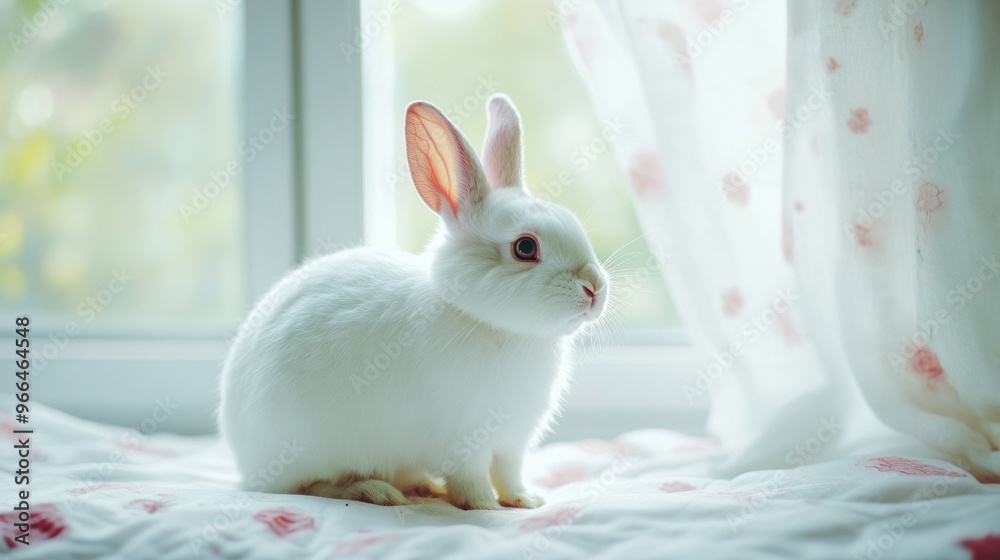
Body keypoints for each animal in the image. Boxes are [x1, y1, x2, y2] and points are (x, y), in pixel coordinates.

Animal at [219, 94, 608, 510]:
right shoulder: (465, 441)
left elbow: (509, 473)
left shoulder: (512, 442)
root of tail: (244, 459)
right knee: (310, 487)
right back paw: (377, 492)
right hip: (312, 450)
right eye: (525, 247)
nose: (594, 288)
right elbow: (470, 479)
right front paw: (484, 506)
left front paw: (526, 500)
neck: (484, 320)